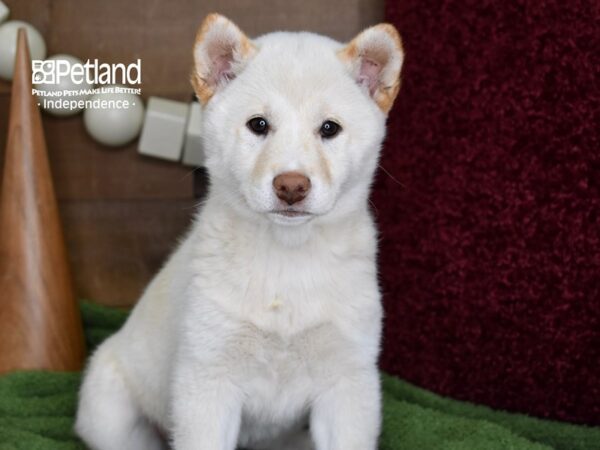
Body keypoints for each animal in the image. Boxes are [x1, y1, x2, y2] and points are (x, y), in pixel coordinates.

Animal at [75, 13, 404, 450]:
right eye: (258, 125)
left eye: (329, 129)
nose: (291, 186)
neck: (286, 258)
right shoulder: (207, 382)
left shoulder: (348, 384)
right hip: (109, 412)